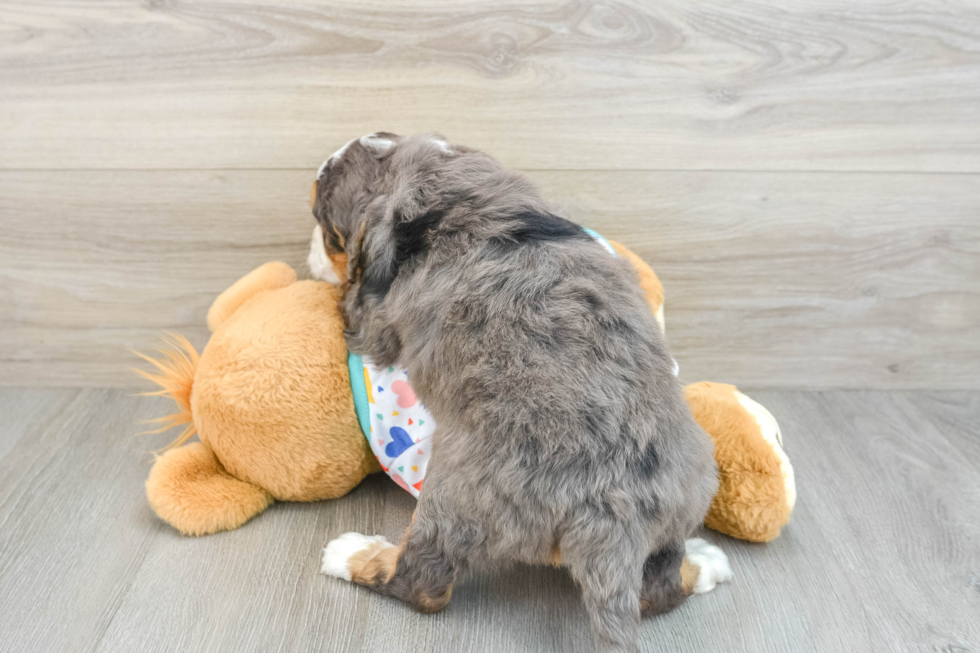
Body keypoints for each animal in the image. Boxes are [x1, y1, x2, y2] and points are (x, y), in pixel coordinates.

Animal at [312, 132, 728, 652]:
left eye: (324, 223)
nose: (310, 257)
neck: (448, 193)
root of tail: (617, 523)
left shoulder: (375, 323)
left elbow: (353, 306)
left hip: (455, 498)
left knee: (422, 583)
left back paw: (351, 554)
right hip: (686, 497)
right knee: (662, 590)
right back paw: (706, 561)